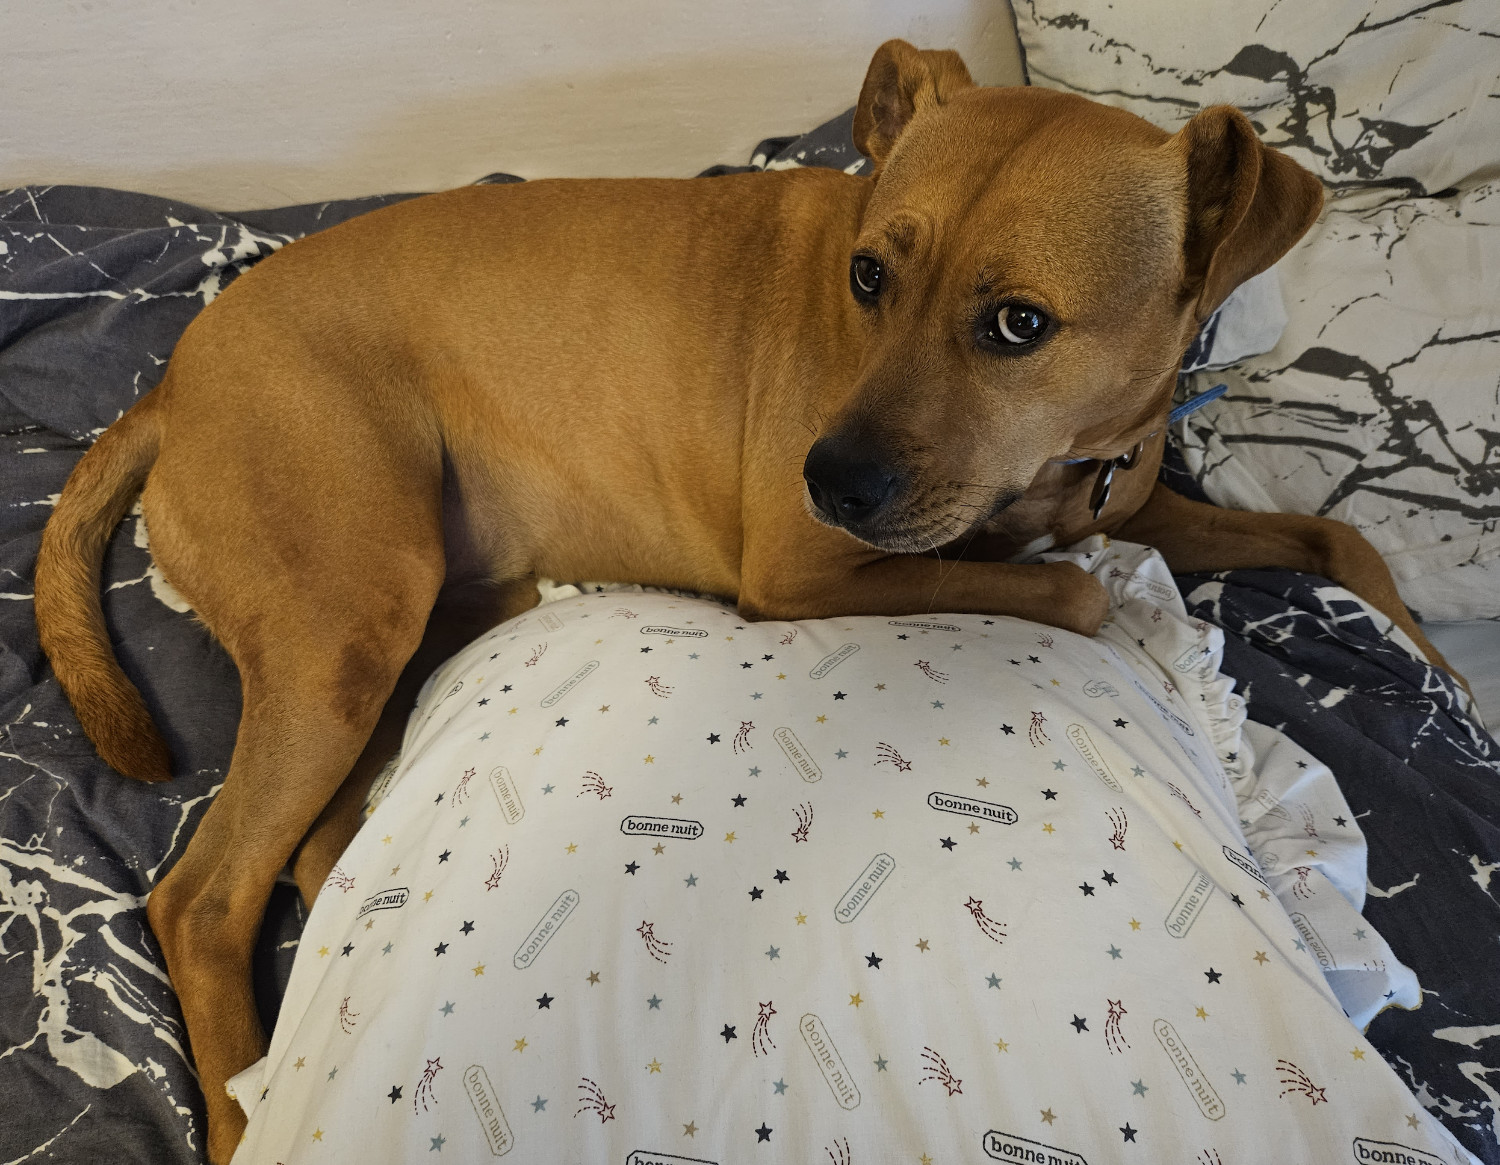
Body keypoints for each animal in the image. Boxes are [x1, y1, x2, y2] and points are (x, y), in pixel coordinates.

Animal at [29, 40, 1452, 1157]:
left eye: (1020, 325)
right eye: (870, 277)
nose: (830, 476)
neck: (1064, 463)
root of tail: (169, 385)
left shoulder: (1140, 497)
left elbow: (1334, 535)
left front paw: (1433, 656)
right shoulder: (815, 570)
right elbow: (1080, 595)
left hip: (423, 618)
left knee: (321, 852)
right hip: (350, 622)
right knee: (207, 897)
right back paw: (238, 1101)